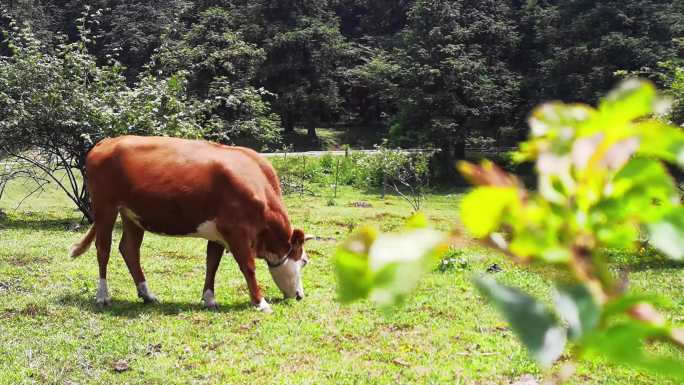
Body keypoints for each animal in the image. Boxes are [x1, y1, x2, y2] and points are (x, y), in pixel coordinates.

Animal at [69, 135, 310, 312]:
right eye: (304, 261)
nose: (300, 296)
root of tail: (107, 142)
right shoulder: (236, 231)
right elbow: (248, 266)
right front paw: (260, 302)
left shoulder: (219, 231)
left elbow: (212, 263)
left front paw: (209, 299)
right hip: (105, 208)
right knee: (103, 249)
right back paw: (103, 296)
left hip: (131, 214)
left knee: (129, 249)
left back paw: (147, 294)